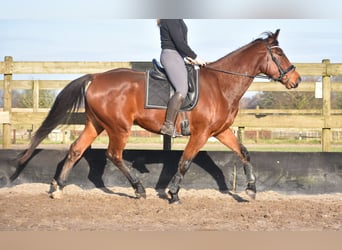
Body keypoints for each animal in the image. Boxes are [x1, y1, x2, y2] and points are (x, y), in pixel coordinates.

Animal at [10, 30, 300, 204]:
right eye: (280, 53)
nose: (296, 80)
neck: (220, 84)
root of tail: (96, 77)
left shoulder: (220, 131)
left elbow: (244, 152)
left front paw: (250, 190)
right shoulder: (201, 134)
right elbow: (184, 162)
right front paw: (173, 193)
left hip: (96, 125)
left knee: (75, 150)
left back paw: (58, 187)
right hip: (119, 128)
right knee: (114, 155)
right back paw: (139, 189)